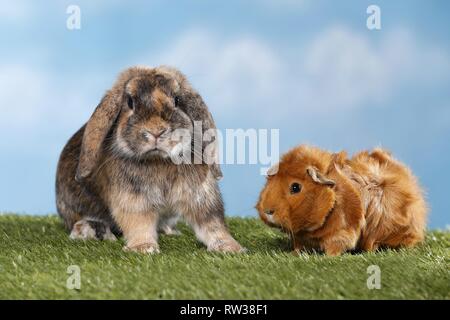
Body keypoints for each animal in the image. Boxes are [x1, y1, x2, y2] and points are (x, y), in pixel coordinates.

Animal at [57, 66, 244, 254]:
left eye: (177, 100)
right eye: (130, 102)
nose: (156, 131)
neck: (158, 160)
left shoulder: (201, 196)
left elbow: (212, 223)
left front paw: (230, 247)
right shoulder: (133, 200)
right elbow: (138, 223)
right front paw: (143, 248)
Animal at [255, 145, 428, 255]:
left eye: (295, 187)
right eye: (269, 182)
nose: (267, 211)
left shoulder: (342, 233)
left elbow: (336, 246)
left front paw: (328, 257)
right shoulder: (300, 238)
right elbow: (299, 246)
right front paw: (294, 254)